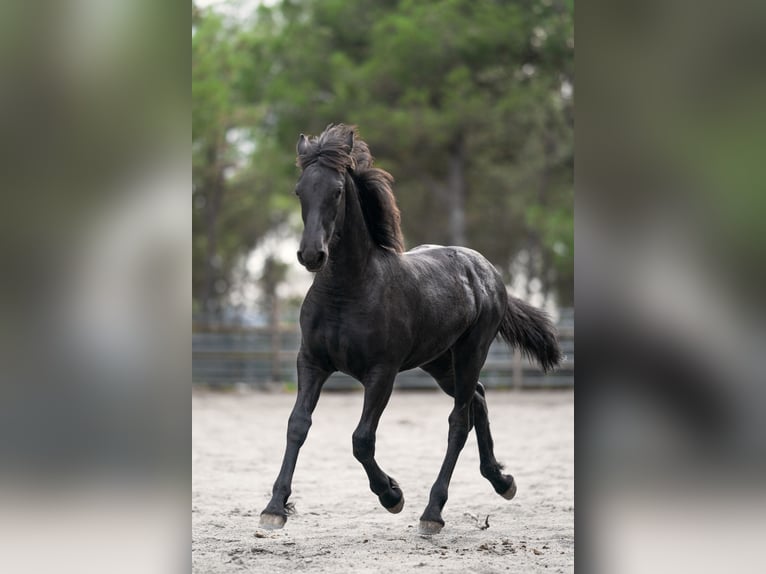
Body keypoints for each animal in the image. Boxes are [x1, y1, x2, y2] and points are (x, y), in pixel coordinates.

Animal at [259, 124, 561, 534]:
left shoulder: (381, 373)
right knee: (478, 399)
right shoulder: (311, 363)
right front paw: (274, 508)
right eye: (299, 190)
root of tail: (486, 269)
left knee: (459, 421)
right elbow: (297, 425)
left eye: (336, 191)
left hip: (471, 352)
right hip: (438, 361)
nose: (311, 255)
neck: (347, 290)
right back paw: (502, 481)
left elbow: (361, 440)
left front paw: (392, 495)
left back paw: (432, 512)